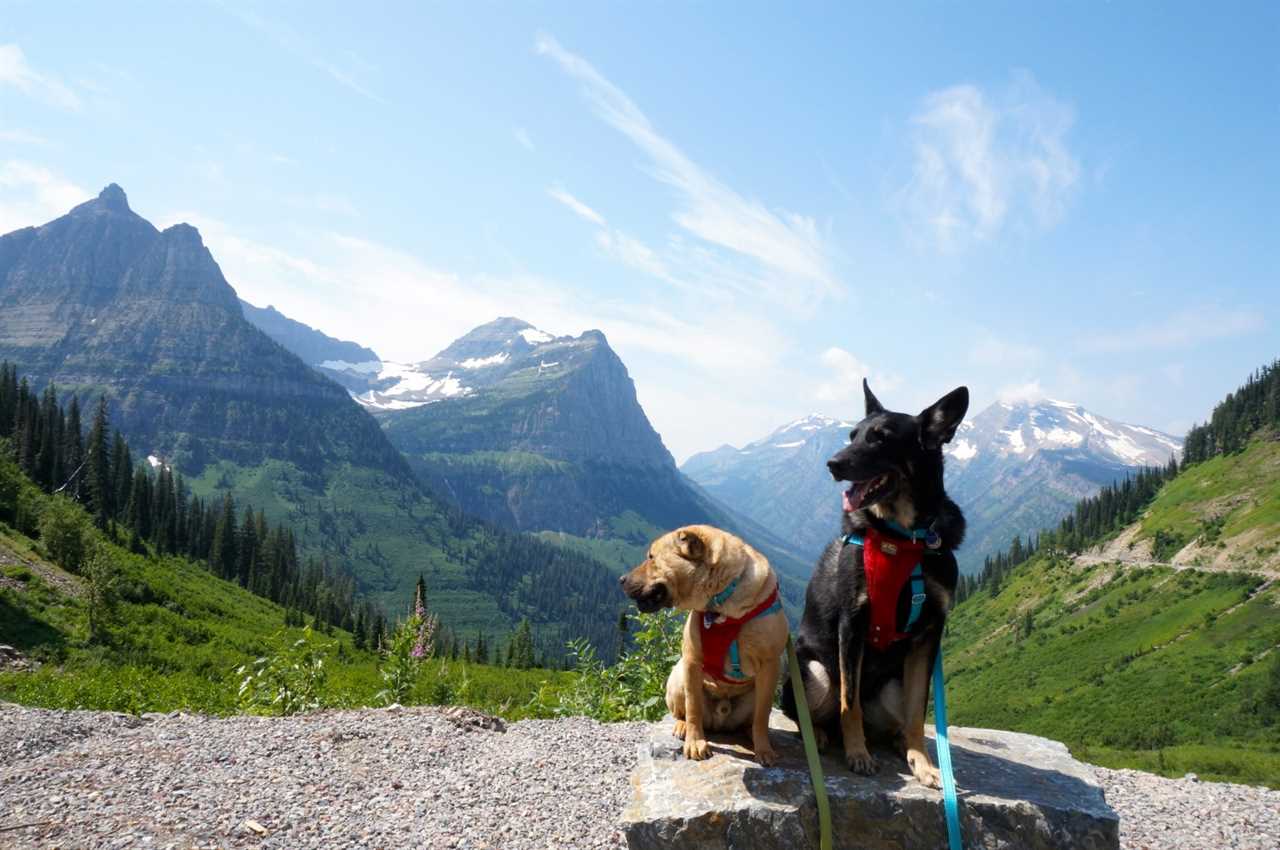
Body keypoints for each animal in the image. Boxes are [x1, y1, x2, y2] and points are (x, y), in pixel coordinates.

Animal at [622, 524, 788, 762]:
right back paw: (682, 727)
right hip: (678, 675)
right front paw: (695, 743)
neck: (721, 605)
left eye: (652, 557)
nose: (621, 579)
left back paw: (750, 733)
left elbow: (763, 714)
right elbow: (693, 708)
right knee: (682, 712)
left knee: (752, 719)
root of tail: (721, 719)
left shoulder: (770, 665)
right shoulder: (692, 662)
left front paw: (764, 749)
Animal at [778, 378, 967, 788]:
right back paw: (823, 735)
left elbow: (917, 711)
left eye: (881, 439)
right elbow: (849, 704)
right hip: (813, 672)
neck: (905, 537)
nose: (832, 464)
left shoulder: (930, 633)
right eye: (853, 435)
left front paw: (923, 761)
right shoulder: (853, 624)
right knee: (816, 714)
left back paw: (900, 744)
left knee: (895, 721)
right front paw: (858, 755)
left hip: (893, 684)